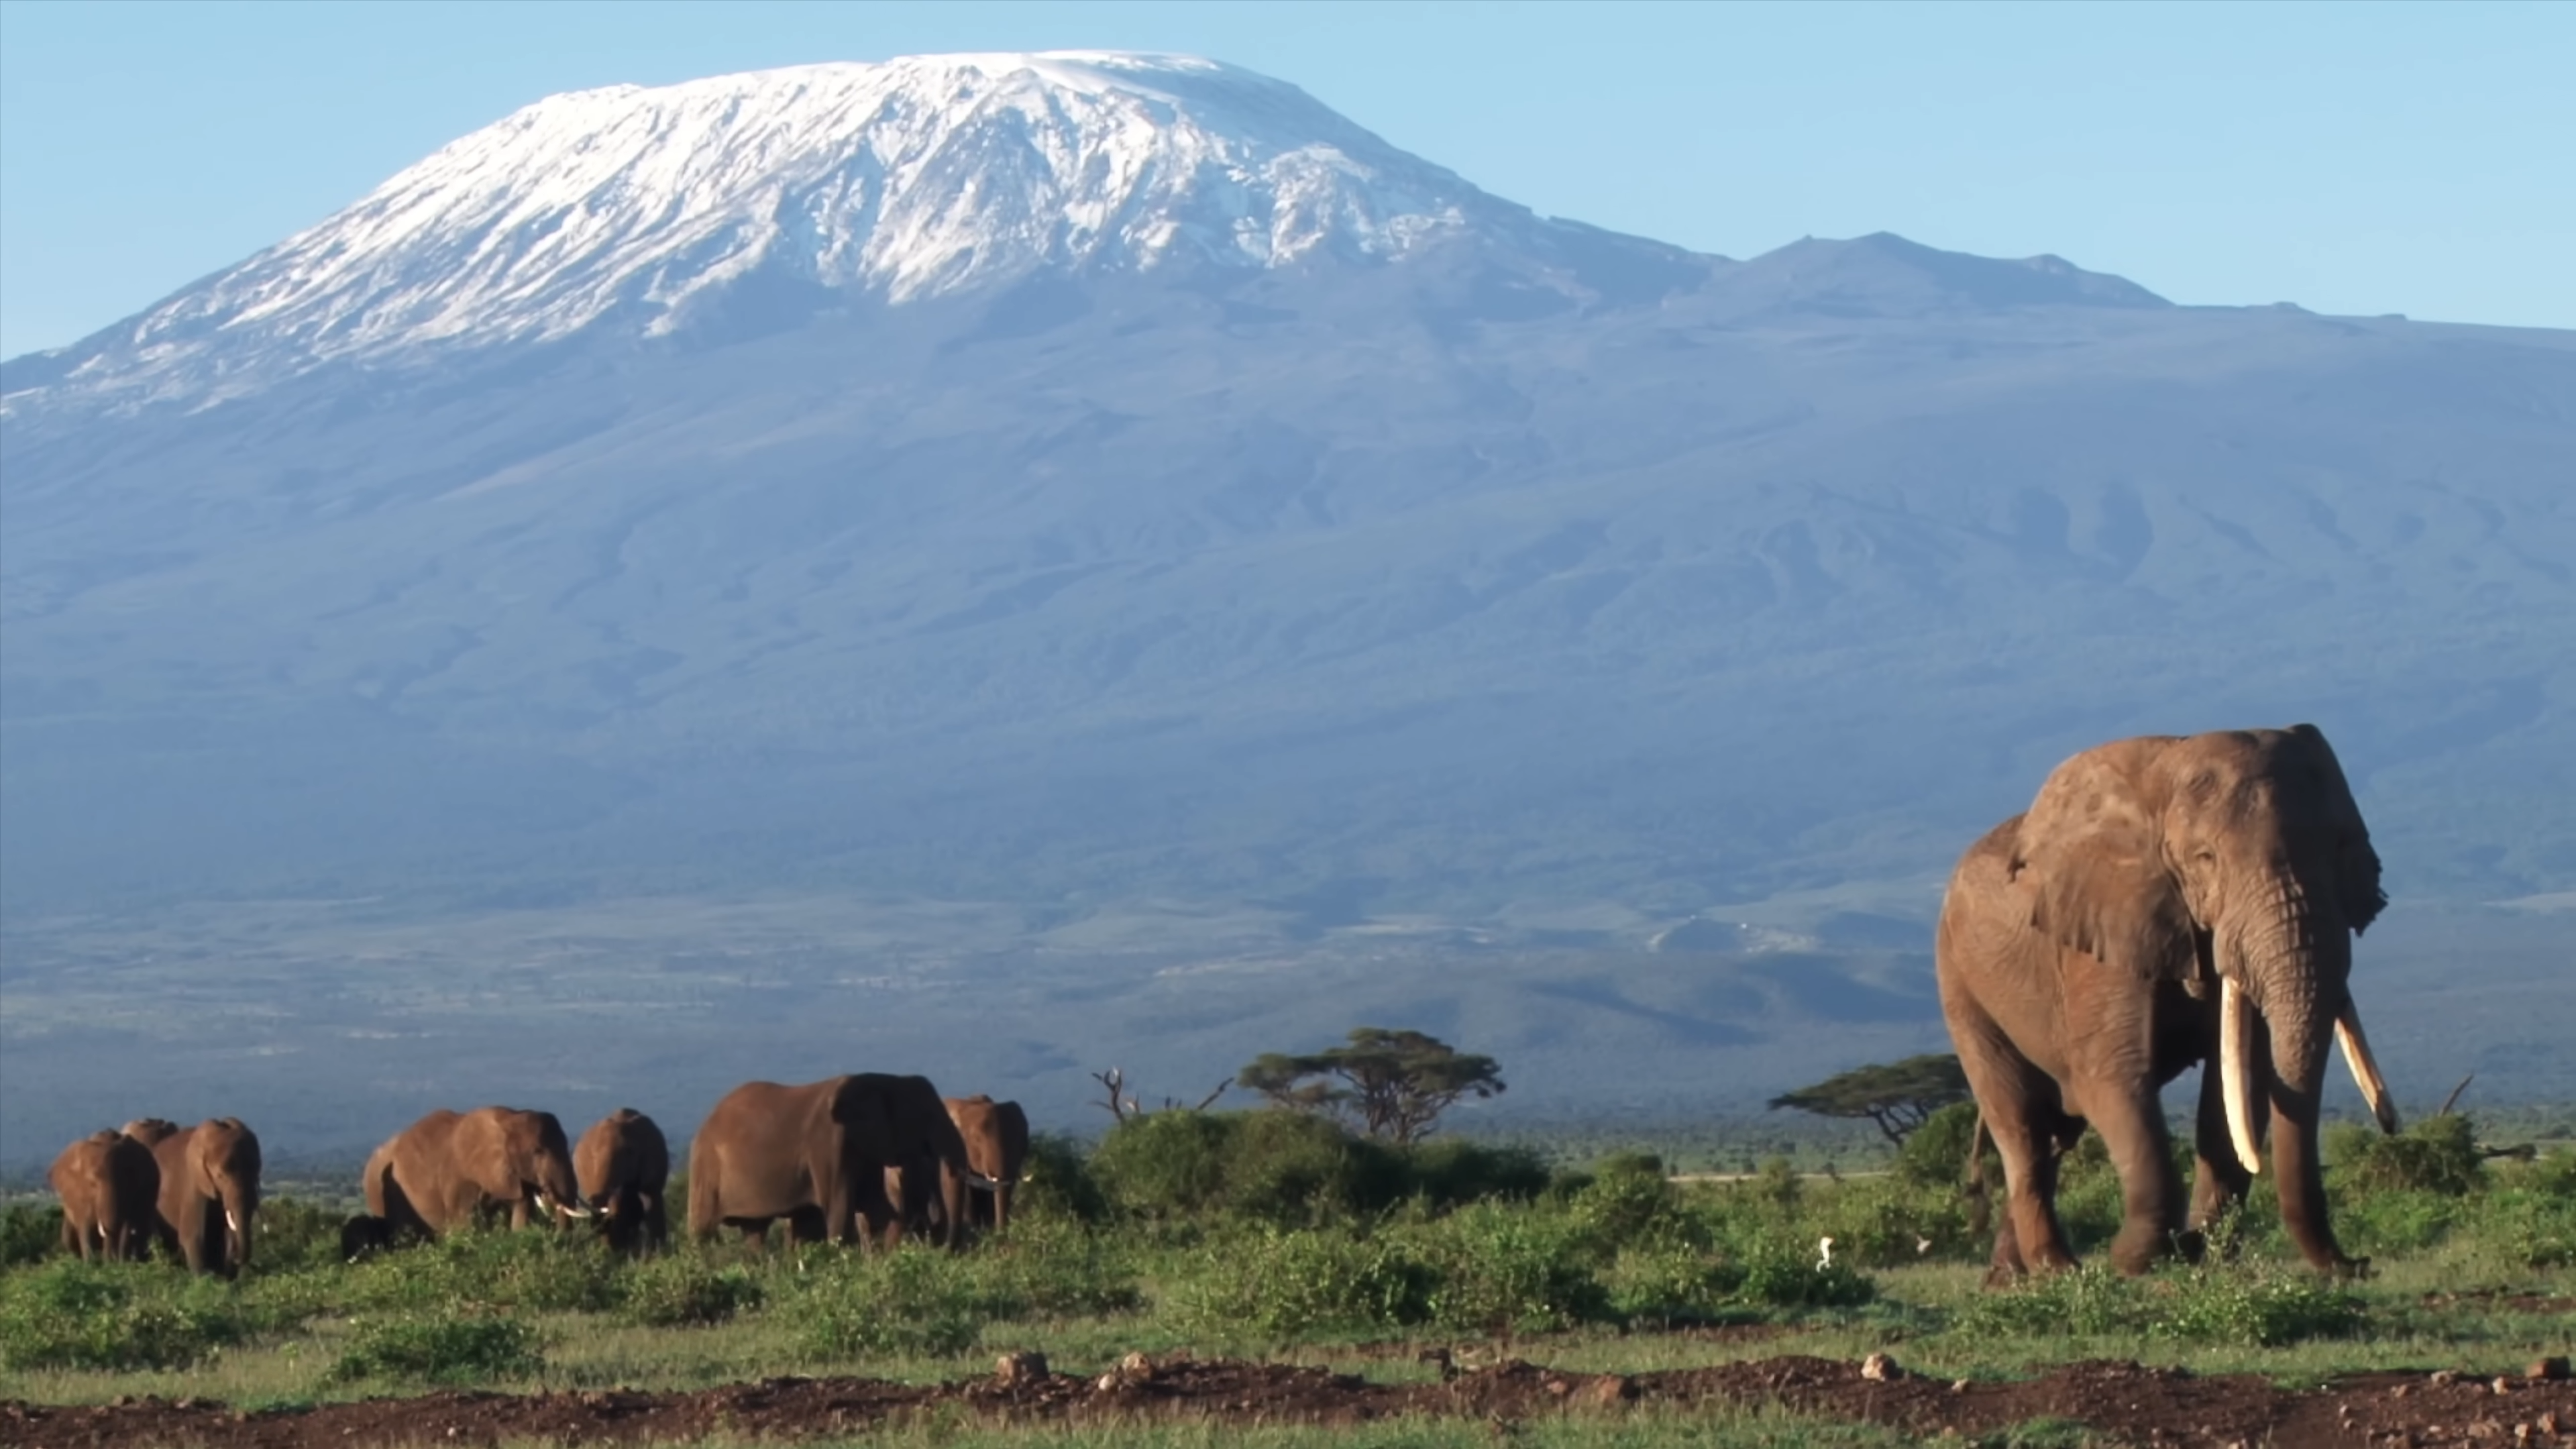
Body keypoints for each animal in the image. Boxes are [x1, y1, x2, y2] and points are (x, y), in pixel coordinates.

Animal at [1937, 722, 2400, 1273]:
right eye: (2206, 859)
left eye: (2341, 848)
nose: (2357, 1264)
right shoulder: (2103, 935)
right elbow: (2114, 1077)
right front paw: (2136, 1260)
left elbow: (2241, 1082)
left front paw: (2203, 1254)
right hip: (1960, 981)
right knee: (2021, 1127)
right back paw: (2057, 1271)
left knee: (2056, 1134)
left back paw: (2014, 1279)